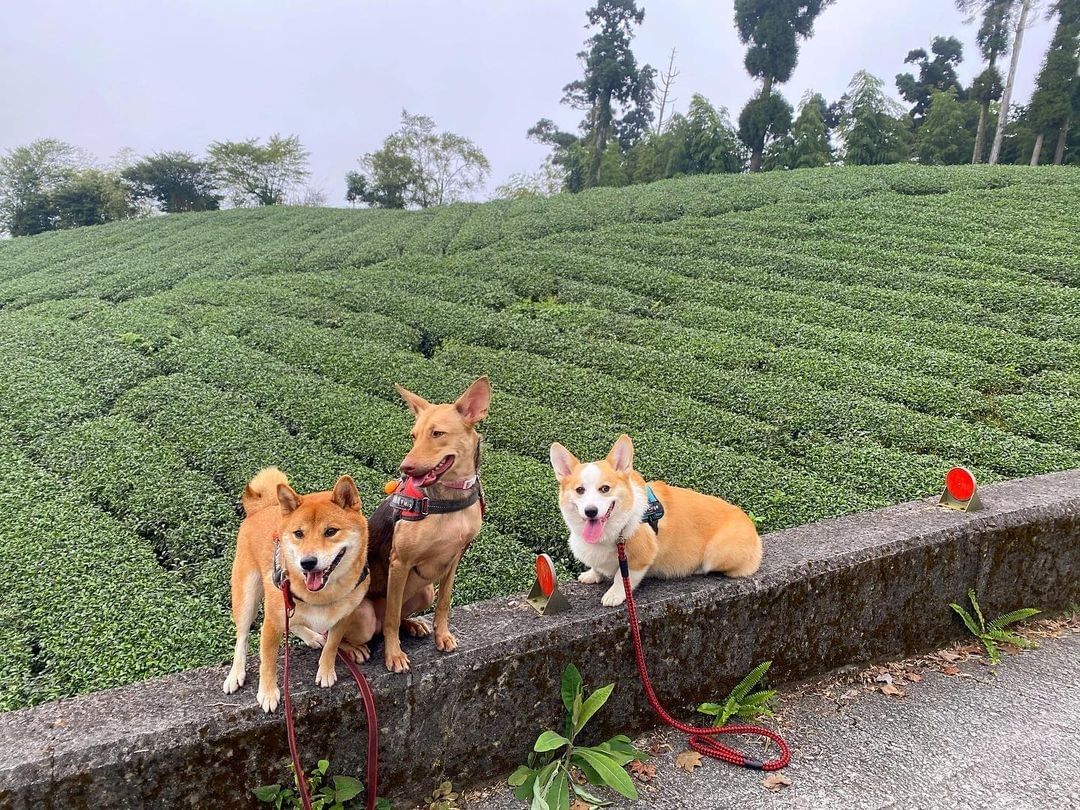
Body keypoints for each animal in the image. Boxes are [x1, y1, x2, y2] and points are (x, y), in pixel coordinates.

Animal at [221, 466, 378, 712]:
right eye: (299, 534)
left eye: (330, 531)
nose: (308, 562)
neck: (321, 596)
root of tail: (262, 508)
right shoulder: (271, 623)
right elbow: (268, 662)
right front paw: (268, 692)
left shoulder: (343, 617)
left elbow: (332, 646)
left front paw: (326, 671)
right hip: (247, 597)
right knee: (242, 637)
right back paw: (235, 674)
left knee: (295, 624)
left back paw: (312, 637)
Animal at [369, 378, 492, 673]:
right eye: (413, 436)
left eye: (437, 433)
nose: (405, 468)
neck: (449, 497)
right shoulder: (399, 562)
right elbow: (391, 617)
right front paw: (393, 655)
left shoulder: (455, 557)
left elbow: (444, 603)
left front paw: (442, 636)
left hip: (425, 590)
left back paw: (413, 624)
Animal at [548, 434, 760, 604]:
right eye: (580, 490)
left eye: (605, 488)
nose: (590, 511)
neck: (615, 528)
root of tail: (754, 532)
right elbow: (597, 567)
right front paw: (592, 575)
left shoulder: (639, 559)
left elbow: (621, 578)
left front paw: (614, 595)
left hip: (716, 554)